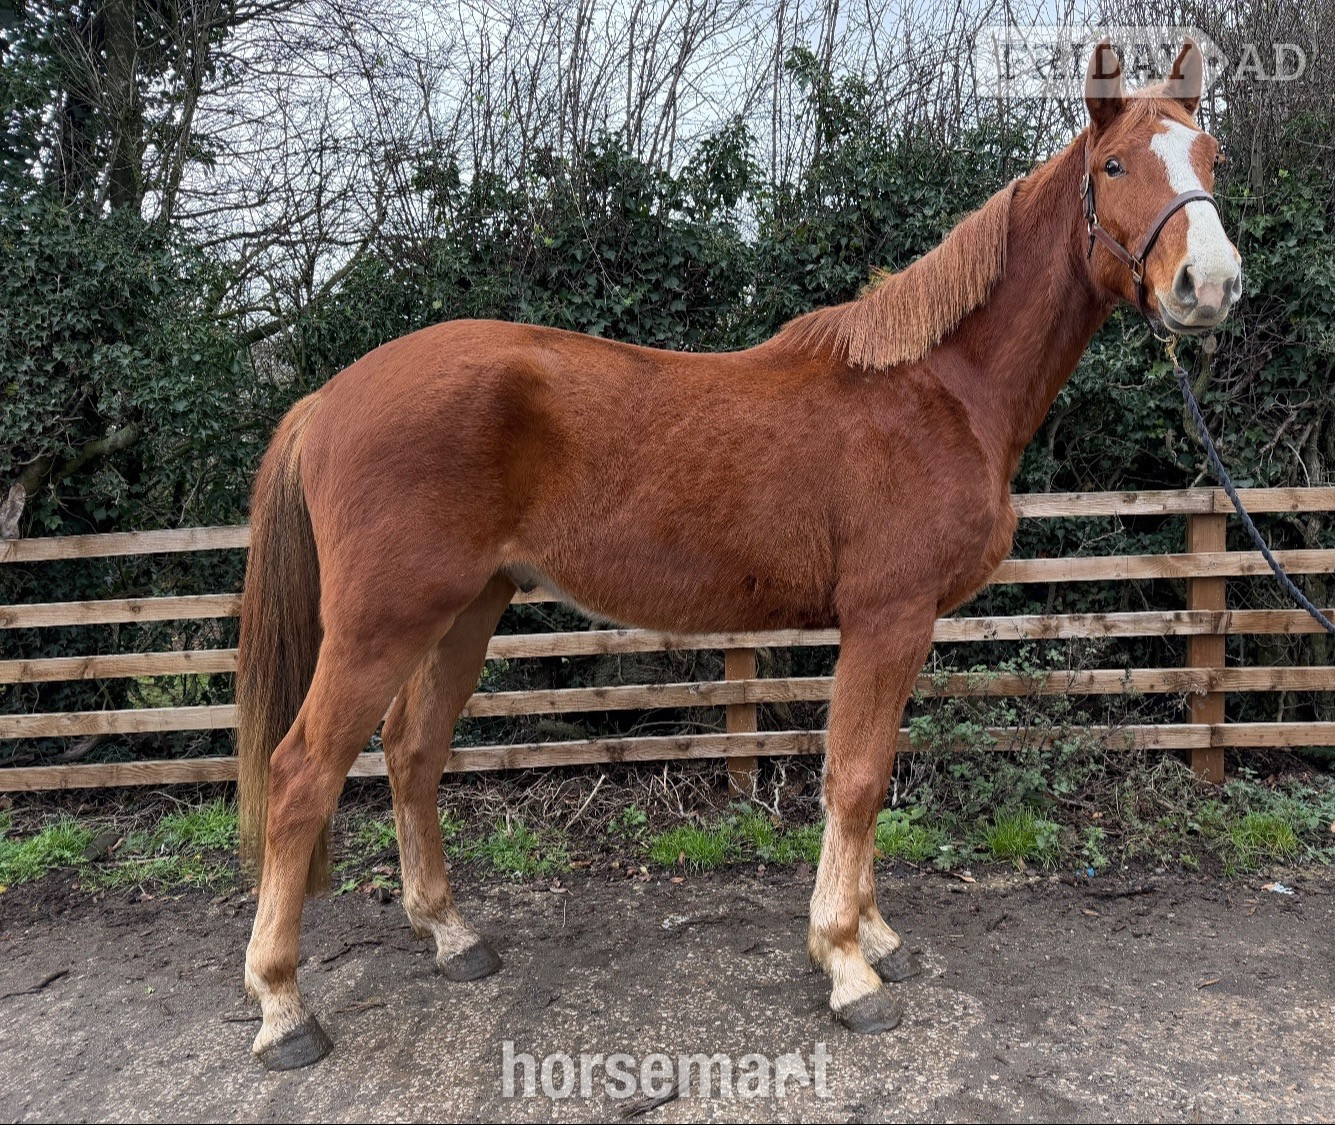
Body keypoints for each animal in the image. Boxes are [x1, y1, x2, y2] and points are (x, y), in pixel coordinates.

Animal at [234, 39, 1242, 1068]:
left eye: (1208, 156)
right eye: (1113, 166)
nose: (1208, 284)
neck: (938, 388)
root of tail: (330, 396)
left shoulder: (897, 627)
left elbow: (868, 774)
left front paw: (875, 933)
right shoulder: (887, 616)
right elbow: (854, 778)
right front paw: (846, 964)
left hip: (466, 609)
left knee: (412, 750)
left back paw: (449, 934)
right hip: (382, 622)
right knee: (301, 770)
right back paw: (281, 1005)